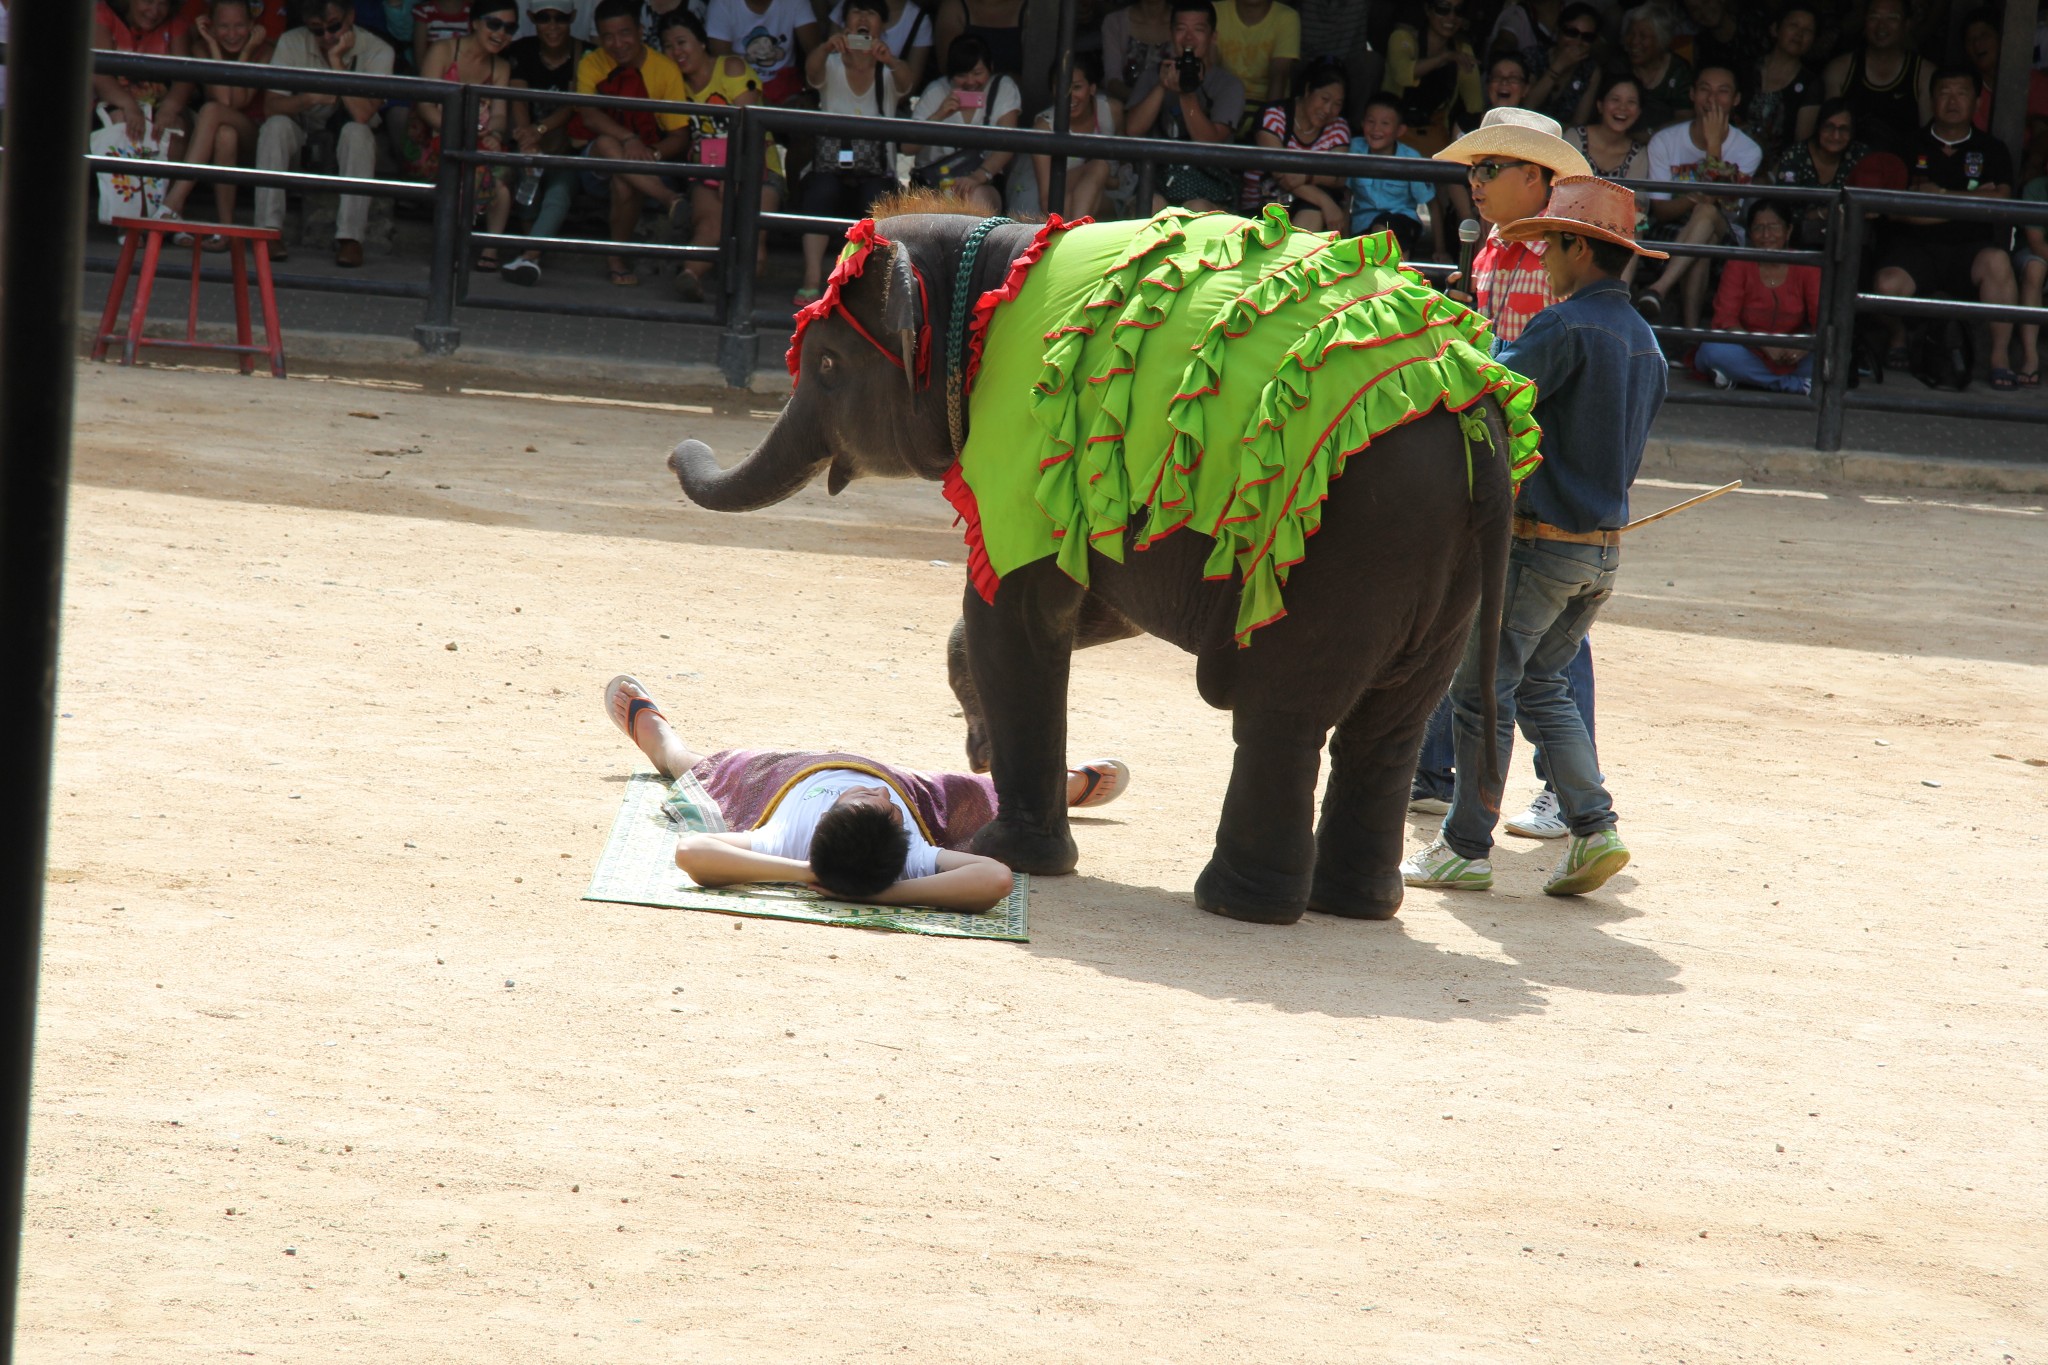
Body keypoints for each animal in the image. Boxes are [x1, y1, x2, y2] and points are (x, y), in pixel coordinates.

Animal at [671, 205, 1540, 929]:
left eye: (822, 366)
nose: (682, 447)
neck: (987, 259)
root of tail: (1483, 425)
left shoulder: (1024, 433)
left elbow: (1016, 610)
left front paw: (1010, 853)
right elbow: (1087, 600)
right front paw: (979, 736)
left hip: (1350, 542)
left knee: (1283, 716)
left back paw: (1240, 906)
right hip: (1443, 562)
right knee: (1388, 727)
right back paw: (1355, 906)